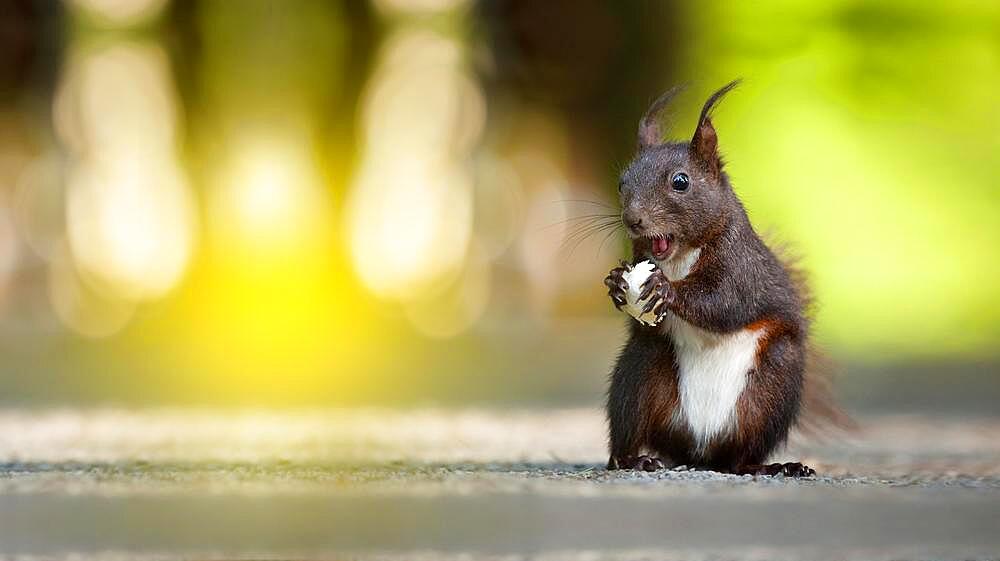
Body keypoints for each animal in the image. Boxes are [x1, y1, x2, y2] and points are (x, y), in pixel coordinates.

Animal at [600, 81, 844, 474]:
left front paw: (665, 289)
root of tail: (700, 450)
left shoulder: (742, 267)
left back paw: (769, 467)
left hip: (774, 384)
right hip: (638, 373)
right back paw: (634, 459)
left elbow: (726, 303)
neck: (680, 256)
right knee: (631, 425)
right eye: (622, 183)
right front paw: (614, 283)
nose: (633, 220)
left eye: (680, 182)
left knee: (742, 456)